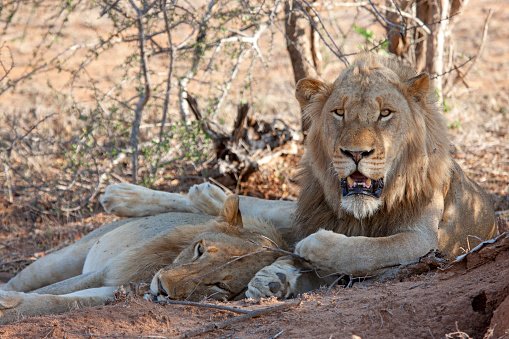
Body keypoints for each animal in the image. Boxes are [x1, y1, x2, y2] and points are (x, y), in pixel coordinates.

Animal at [100, 55, 496, 300]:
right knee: (252, 205)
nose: (356, 153)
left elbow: (370, 248)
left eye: (385, 113)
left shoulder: (424, 240)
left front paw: (301, 257)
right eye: (339, 113)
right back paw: (128, 195)